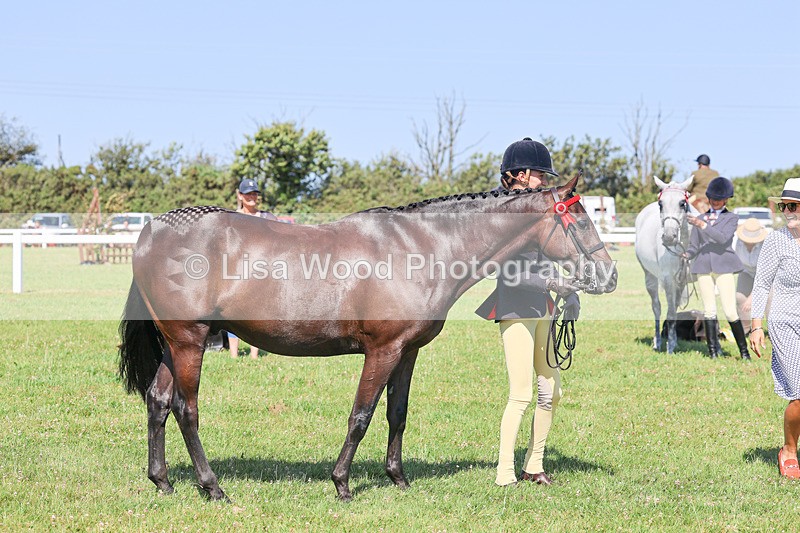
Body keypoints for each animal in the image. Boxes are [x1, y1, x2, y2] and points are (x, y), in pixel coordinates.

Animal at [118, 174, 618, 501]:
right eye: (580, 221)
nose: (609, 275)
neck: (423, 248)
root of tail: (152, 231)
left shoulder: (406, 352)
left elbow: (397, 414)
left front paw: (397, 478)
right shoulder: (381, 351)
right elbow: (362, 415)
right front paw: (342, 483)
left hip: (173, 346)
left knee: (157, 402)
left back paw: (162, 481)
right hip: (190, 342)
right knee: (185, 410)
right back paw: (212, 486)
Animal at [634, 176, 694, 354]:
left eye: (682, 203)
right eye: (661, 204)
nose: (668, 237)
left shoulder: (680, 281)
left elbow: (674, 309)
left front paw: (673, 343)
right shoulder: (668, 280)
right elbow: (670, 312)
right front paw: (670, 346)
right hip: (650, 277)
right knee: (656, 307)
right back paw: (657, 342)